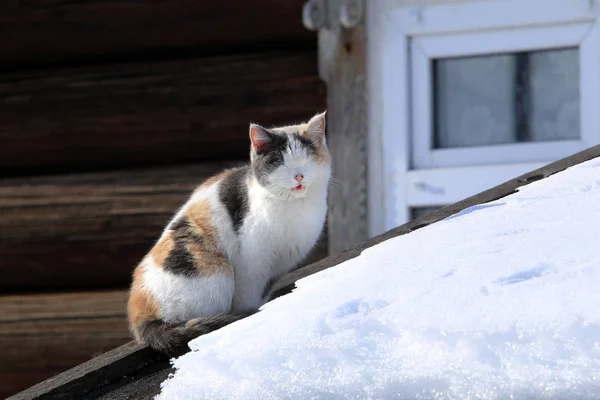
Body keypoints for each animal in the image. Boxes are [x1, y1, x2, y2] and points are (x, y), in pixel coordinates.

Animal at [128, 111, 330, 354]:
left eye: (308, 158)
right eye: (279, 162)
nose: (299, 175)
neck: (296, 208)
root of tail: (140, 316)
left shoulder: (276, 270)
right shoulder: (250, 265)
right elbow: (247, 298)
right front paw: (252, 317)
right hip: (213, 268)